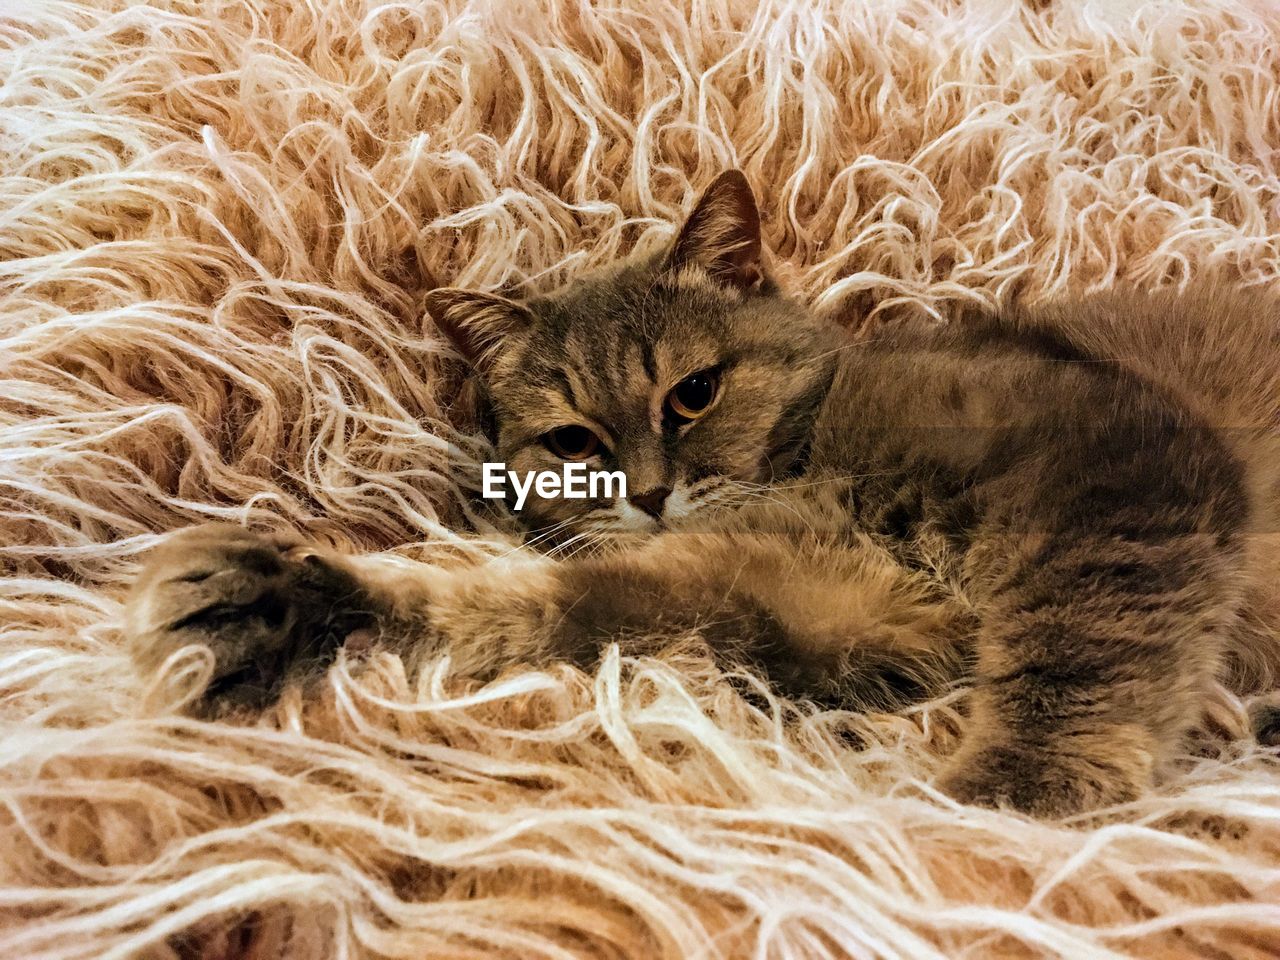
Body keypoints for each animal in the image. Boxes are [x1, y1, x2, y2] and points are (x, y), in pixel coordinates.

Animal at [122, 172, 1280, 819]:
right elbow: (495, 609)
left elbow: (1076, 658)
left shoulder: (1113, 469)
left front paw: (997, 807)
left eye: (691, 393)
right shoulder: (757, 610)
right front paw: (287, 603)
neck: (810, 465)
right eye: (574, 442)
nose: (648, 494)